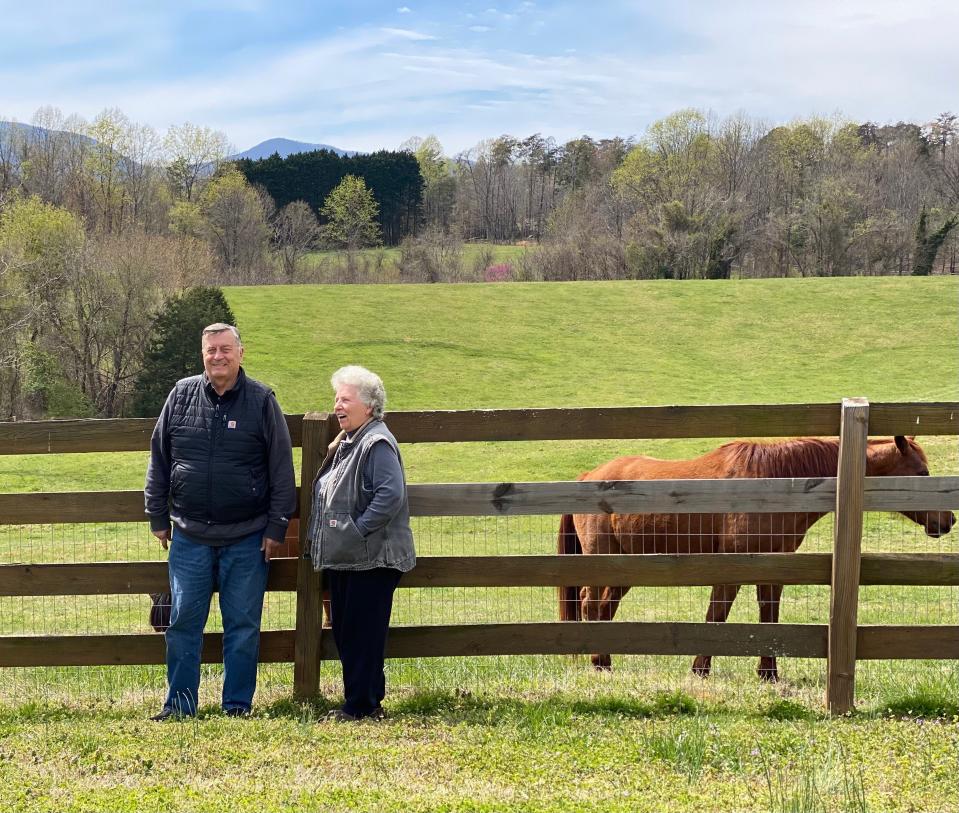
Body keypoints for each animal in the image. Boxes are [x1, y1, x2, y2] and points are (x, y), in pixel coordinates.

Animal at [560, 438, 956, 680]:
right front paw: (700, 670)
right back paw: (599, 663)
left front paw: (769, 673)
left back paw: (604, 662)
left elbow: (769, 616)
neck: (773, 485)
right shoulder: (734, 567)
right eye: (922, 473)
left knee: (604, 607)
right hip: (604, 560)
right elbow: (717, 616)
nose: (948, 520)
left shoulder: (774, 567)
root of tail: (589, 476)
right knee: (591, 604)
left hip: (626, 567)